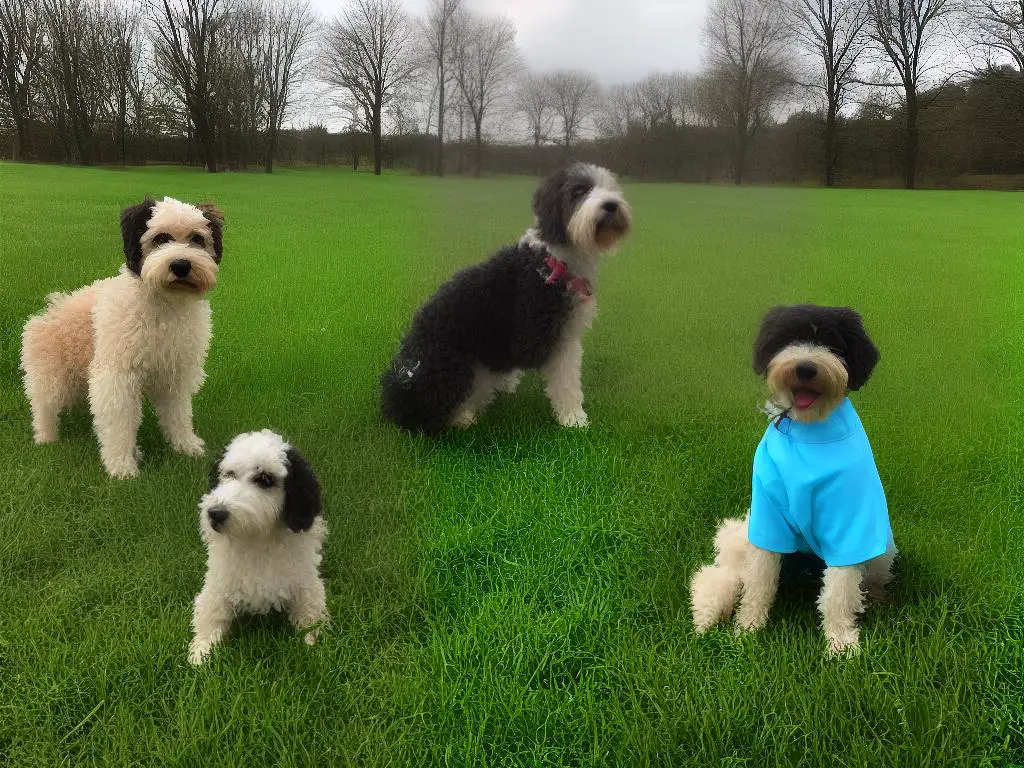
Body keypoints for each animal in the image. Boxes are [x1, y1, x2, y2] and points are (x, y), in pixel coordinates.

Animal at [19, 195, 224, 479]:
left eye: (197, 238)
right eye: (160, 238)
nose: (181, 265)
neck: (163, 304)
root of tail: (50, 311)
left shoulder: (173, 372)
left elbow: (178, 412)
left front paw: (186, 446)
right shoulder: (117, 374)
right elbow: (119, 419)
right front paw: (121, 466)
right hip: (52, 374)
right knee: (43, 405)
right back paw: (46, 438)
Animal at [186, 434, 325, 667]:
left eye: (265, 479)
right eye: (229, 474)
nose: (215, 514)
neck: (256, 538)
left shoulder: (306, 582)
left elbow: (310, 613)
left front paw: (311, 646)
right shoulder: (218, 584)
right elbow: (210, 614)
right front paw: (201, 652)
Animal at [378, 162, 626, 436]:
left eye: (611, 187)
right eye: (579, 191)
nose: (612, 205)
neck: (555, 257)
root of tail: (393, 396)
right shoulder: (545, 335)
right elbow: (566, 379)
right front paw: (574, 418)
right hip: (451, 365)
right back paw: (463, 416)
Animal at [688, 307, 897, 655]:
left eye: (832, 342)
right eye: (788, 338)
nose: (806, 368)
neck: (809, 434)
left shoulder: (848, 521)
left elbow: (840, 589)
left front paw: (840, 643)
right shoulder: (769, 515)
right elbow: (759, 580)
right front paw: (748, 629)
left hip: (884, 548)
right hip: (745, 533)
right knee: (723, 572)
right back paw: (707, 611)